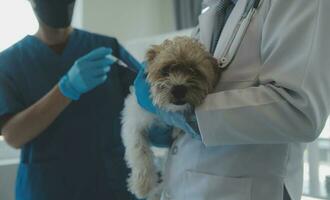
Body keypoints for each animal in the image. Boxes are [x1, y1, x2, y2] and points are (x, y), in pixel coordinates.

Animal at [120, 36, 219, 200]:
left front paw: (177, 128)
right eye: (165, 70)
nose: (179, 89)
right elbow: (140, 152)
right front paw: (143, 186)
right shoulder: (133, 123)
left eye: (193, 70)